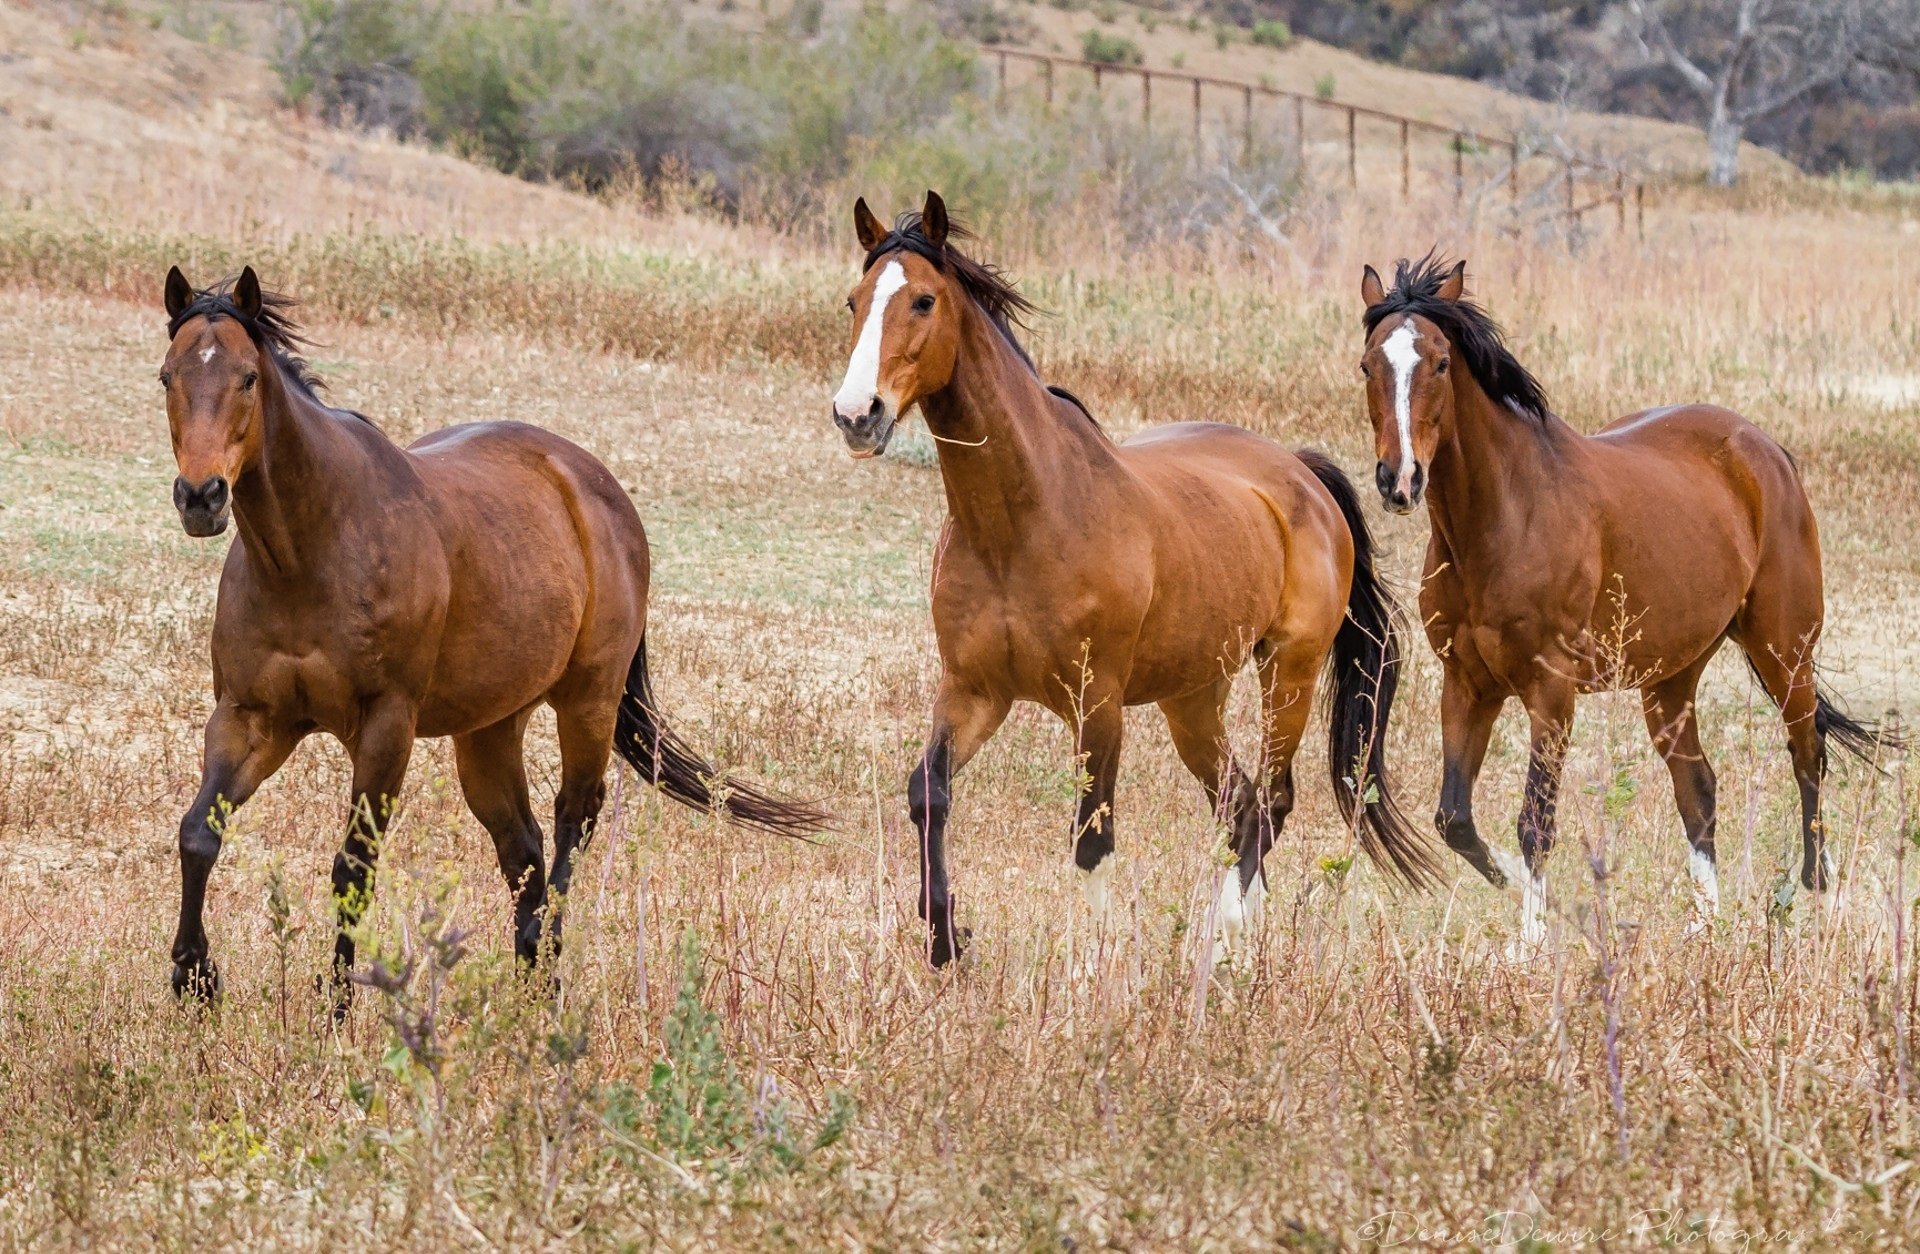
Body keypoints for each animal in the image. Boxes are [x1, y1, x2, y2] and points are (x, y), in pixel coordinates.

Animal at [158, 266, 826, 1007]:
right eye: (167, 376)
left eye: (248, 377)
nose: (201, 497)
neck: (312, 550)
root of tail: (596, 488)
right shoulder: (252, 718)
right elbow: (197, 834)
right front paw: (194, 977)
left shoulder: (385, 727)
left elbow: (353, 866)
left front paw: (335, 1006)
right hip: (488, 730)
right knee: (522, 846)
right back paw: (530, 972)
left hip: (588, 703)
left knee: (572, 820)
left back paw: (550, 962)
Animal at [828, 192, 1440, 966]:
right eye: (853, 301)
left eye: (923, 300)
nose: (858, 415)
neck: (1024, 519)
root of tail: (1302, 474)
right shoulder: (973, 691)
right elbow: (928, 793)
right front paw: (945, 939)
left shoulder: (1099, 705)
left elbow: (1092, 838)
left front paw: (1091, 966)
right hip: (1193, 697)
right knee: (1239, 800)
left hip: (1288, 673)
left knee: (1272, 797)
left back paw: (1228, 937)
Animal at [1354, 253, 1895, 946]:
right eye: (1368, 365)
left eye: (1442, 363)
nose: (1399, 481)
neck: (1507, 515)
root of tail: (1769, 452)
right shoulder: (1469, 684)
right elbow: (1455, 819)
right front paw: (1524, 897)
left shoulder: (1551, 691)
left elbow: (1535, 820)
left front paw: (1531, 945)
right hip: (1671, 678)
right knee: (1698, 786)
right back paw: (1703, 925)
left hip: (1784, 652)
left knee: (1808, 759)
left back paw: (1820, 902)